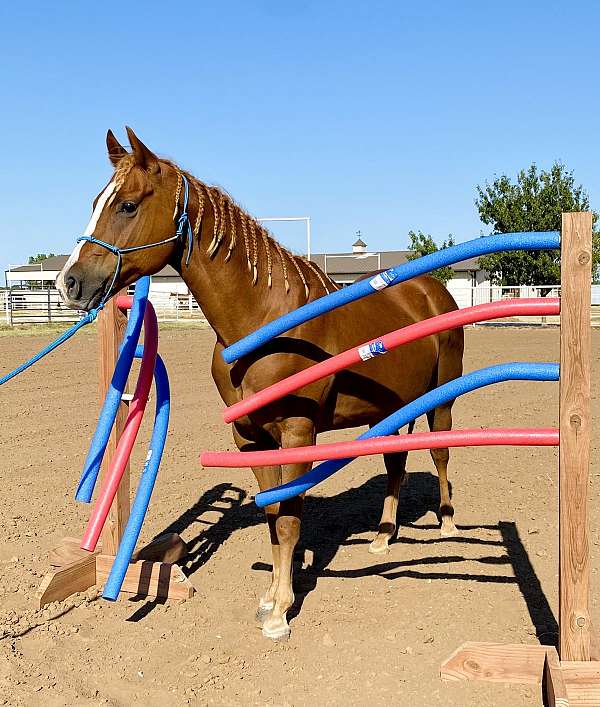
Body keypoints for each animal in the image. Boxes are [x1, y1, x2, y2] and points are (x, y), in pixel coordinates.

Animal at [56, 127, 464, 640]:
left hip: (441, 399)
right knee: (395, 463)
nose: (69, 282)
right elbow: (272, 517)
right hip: (396, 408)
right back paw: (382, 536)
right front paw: (272, 596)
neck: (263, 321)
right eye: (96, 201)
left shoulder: (297, 434)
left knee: (441, 454)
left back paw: (448, 524)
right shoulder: (251, 439)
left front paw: (281, 613)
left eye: (127, 205)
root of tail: (430, 289)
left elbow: (289, 521)